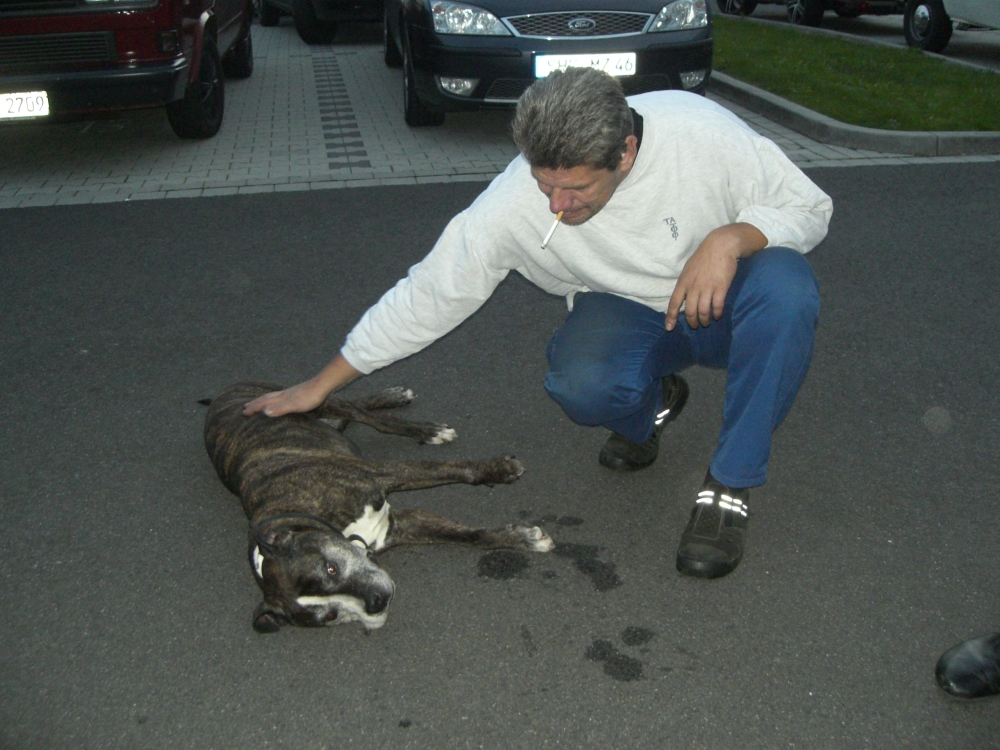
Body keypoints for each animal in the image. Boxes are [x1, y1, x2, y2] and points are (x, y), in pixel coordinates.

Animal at [203, 381, 555, 633]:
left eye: (330, 568)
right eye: (330, 616)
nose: (375, 602)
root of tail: (219, 396)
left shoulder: (383, 473)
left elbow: (448, 470)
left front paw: (498, 470)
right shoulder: (400, 525)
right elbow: (471, 536)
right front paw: (522, 538)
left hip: (308, 399)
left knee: (369, 415)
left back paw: (418, 421)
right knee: (352, 412)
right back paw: (393, 398)